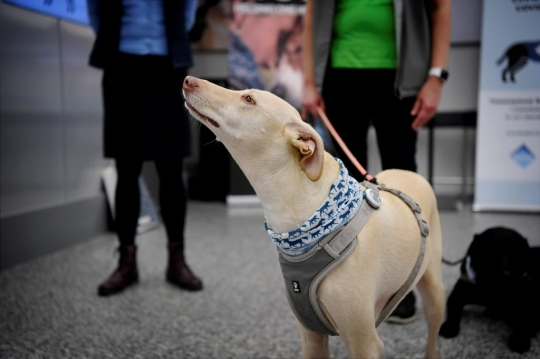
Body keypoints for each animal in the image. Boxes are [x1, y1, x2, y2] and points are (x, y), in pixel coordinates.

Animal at [184, 76, 446, 359]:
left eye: (249, 99)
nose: (188, 80)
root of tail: (410, 173)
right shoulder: (311, 334)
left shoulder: (365, 343)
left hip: (434, 290)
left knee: (433, 335)